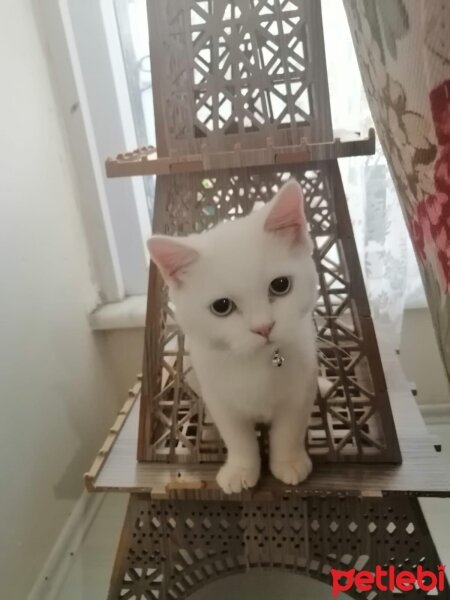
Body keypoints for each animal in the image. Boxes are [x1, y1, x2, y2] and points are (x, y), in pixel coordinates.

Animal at [148, 180, 316, 494]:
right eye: (222, 306)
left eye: (280, 285)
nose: (264, 327)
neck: (255, 361)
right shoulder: (220, 398)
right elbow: (238, 438)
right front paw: (240, 469)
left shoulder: (299, 390)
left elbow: (289, 430)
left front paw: (288, 462)